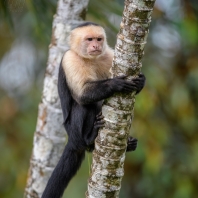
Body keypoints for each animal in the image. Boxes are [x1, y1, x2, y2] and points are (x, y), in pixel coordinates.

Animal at [41, 22, 145, 198]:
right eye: (89, 39)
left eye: (98, 39)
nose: (95, 45)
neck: (89, 58)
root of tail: (72, 141)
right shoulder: (70, 59)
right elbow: (83, 94)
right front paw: (115, 84)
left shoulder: (108, 54)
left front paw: (141, 82)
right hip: (74, 133)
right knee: (84, 106)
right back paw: (90, 139)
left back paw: (128, 144)